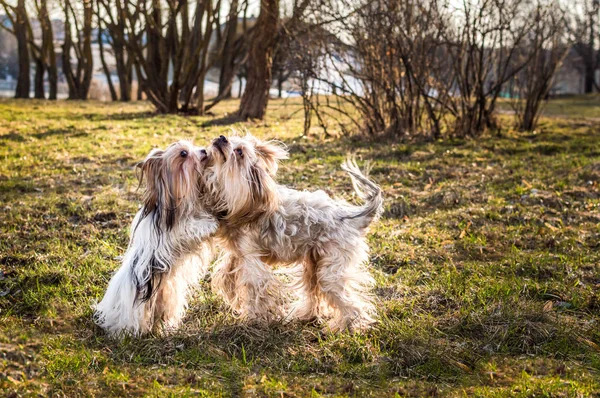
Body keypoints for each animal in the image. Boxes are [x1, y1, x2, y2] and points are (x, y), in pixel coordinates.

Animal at [92, 141, 217, 338]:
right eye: (183, 154)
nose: (204, 150)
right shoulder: (172, 236)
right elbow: (188, 227)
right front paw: (210, 225)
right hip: (136, 305)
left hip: (168, 297)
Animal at [204, 132, 382, 332]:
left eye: (240, 152)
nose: (222, 137)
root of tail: (355, 217)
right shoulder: (238, 253)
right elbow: (227, 273)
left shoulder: (251, 260)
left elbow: (254, 290)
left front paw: (254, 319)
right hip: (313, 266)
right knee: (313, 291)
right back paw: (307, 316)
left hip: (331, 273)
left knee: (350, 304)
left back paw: (348, 327)